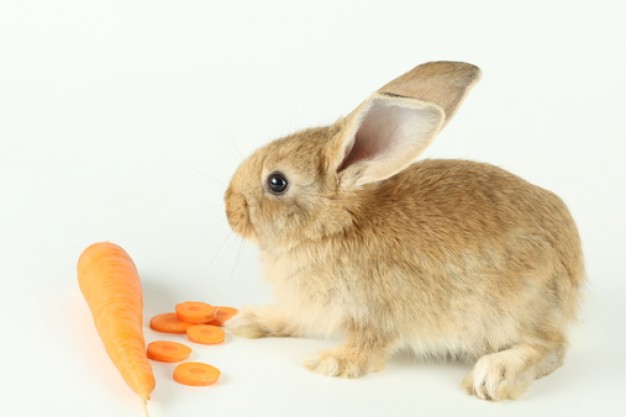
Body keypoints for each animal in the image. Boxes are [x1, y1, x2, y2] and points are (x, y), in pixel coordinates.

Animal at [223, 61, 580, 400]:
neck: (335, 225)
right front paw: (249, 320)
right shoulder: (313, 308)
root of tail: (575, 269)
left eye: (277, 182)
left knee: (551, 347)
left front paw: (330, 362)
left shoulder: (376, 312)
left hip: (514, 308)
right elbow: (295, 318)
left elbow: (368, 344)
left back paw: (495, 374)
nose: (229, 207)